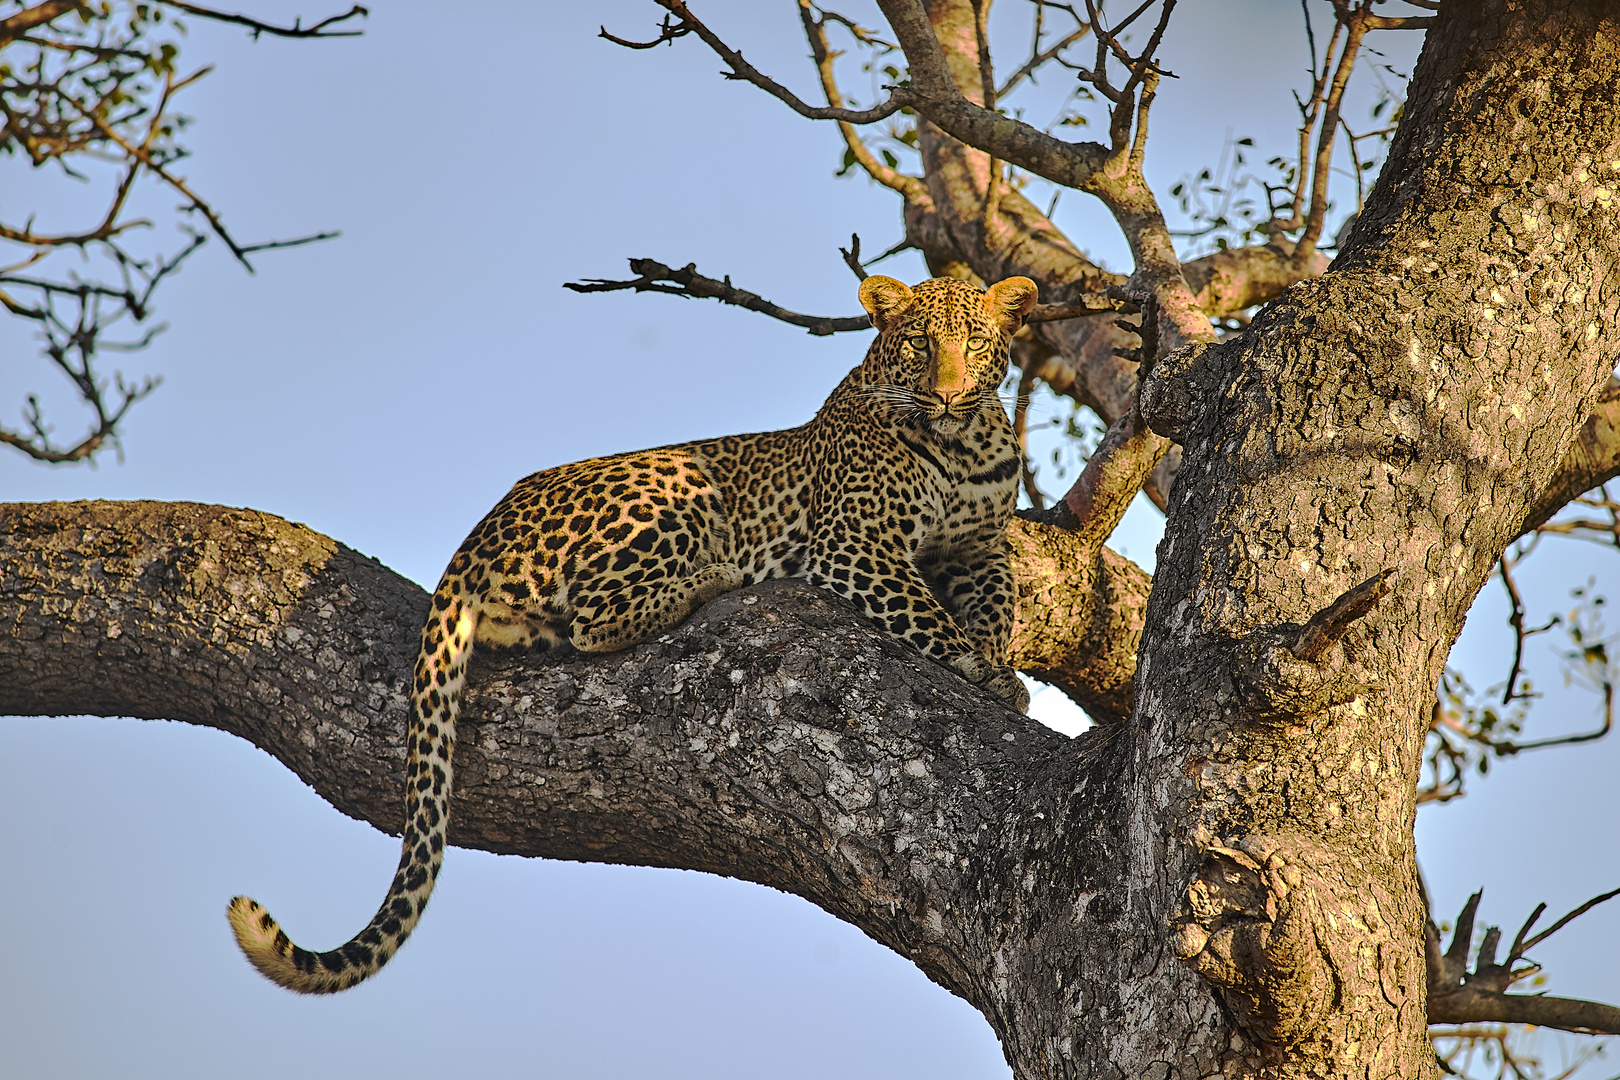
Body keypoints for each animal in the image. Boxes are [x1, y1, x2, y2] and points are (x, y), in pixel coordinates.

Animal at [225, 272, 1036, 997]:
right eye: (919, 342)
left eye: (972, 341)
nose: (948, 392)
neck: (962, 446)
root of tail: (476, 535)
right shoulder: (857, 544)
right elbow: (923, 614)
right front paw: (985, 672)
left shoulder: (981, 550)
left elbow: (996, 608)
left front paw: (997, 659)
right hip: (678, 483)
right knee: (596, 619)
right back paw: (716, 576)